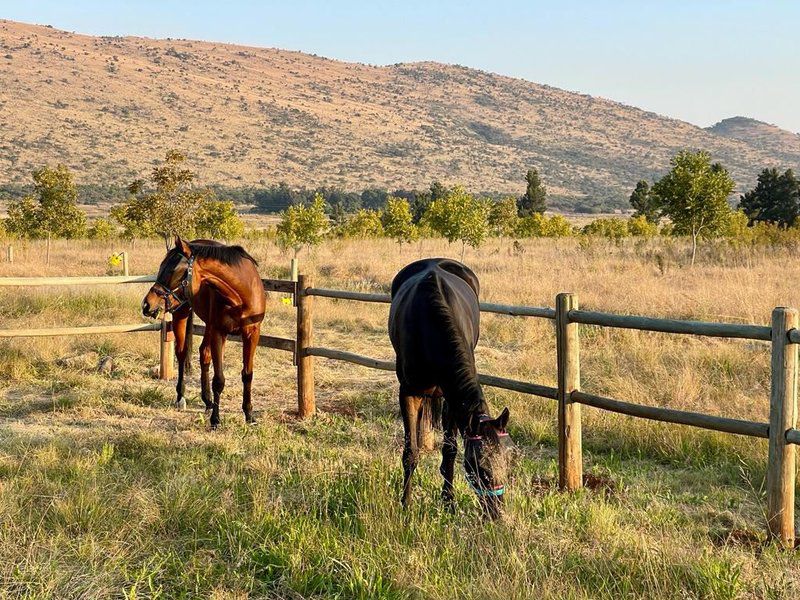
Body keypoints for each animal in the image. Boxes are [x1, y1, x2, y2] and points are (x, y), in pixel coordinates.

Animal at [143, 237, 266, 428]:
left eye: (172, 270)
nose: (147, 304)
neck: (241, 295)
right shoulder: (219, 332)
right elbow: (219, 380)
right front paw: (215, 419)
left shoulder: (252, 334)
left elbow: (247, 375)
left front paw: (249, 414)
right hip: (181, 313)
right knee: (182, 353)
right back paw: (181, 397)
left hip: (207, 324)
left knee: (204, 354)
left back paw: (207, 401)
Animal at [390, 258, 512, 520]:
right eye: (479, 466)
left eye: (508, 462)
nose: (495, 513)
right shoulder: (408, 392)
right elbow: (410, 452)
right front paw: (406, 505)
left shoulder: (452, 399)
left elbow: (450, 452)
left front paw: (448, 502)